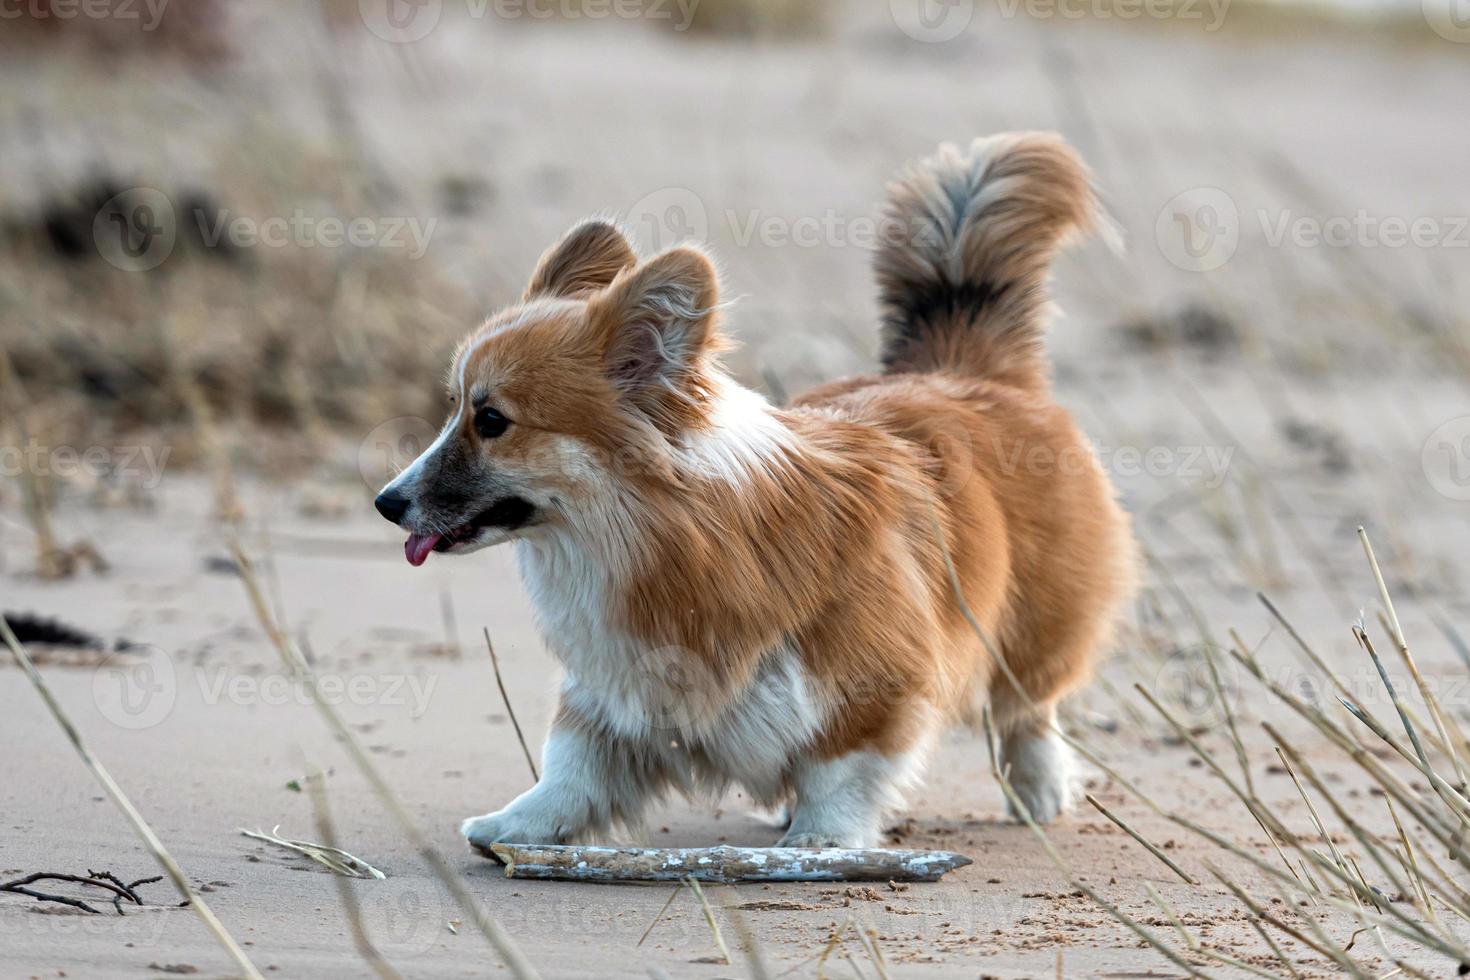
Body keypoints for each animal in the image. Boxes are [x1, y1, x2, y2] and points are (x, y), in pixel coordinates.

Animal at [376, 132, 1134, 852]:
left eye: (491, 420)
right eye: (454, 407)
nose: (386, 503)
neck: (659, 535)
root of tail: (964, 369)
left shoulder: (873, 683)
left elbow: (843, 769)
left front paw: (823, 841)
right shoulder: (612, 690)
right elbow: (573, 766)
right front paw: (519, 826)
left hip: (1031, 630)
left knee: (1028, 709)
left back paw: (1038, 790)